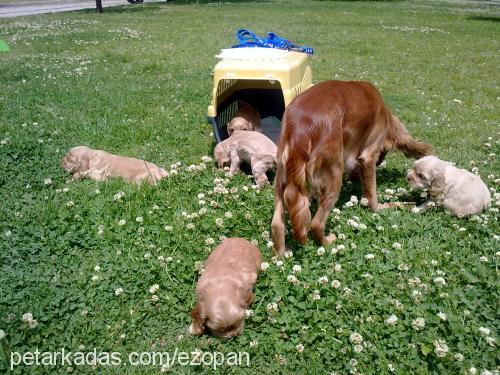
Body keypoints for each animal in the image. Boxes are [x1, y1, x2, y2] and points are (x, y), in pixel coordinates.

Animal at [272, 80, 432, 254]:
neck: (384, 114)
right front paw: (385, 207)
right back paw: (328, 242)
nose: (379, 162)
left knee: (277, 224)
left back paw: (281, 253)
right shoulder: (368, 155)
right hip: (334, 174)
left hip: (281, 178)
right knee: (316, 224)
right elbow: (372, 196)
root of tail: (300, 128)